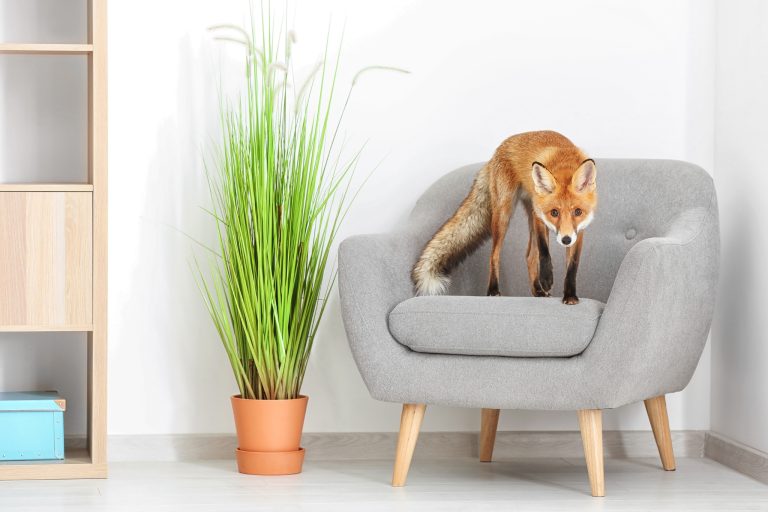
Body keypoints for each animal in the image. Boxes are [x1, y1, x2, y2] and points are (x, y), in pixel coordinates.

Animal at [411, 130, 597, 305]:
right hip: (504, 214)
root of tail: (496, 152)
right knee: (495, 255)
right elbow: (544, 252)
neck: (563, 163)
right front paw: (546, 279)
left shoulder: (579, 231)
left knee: (529, 256)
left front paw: (570, 295)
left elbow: (572, 266)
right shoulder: (539, 216)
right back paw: (494, 290)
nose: (566, 240)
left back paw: (537, 291)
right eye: (554, 212)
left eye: (578, 212)